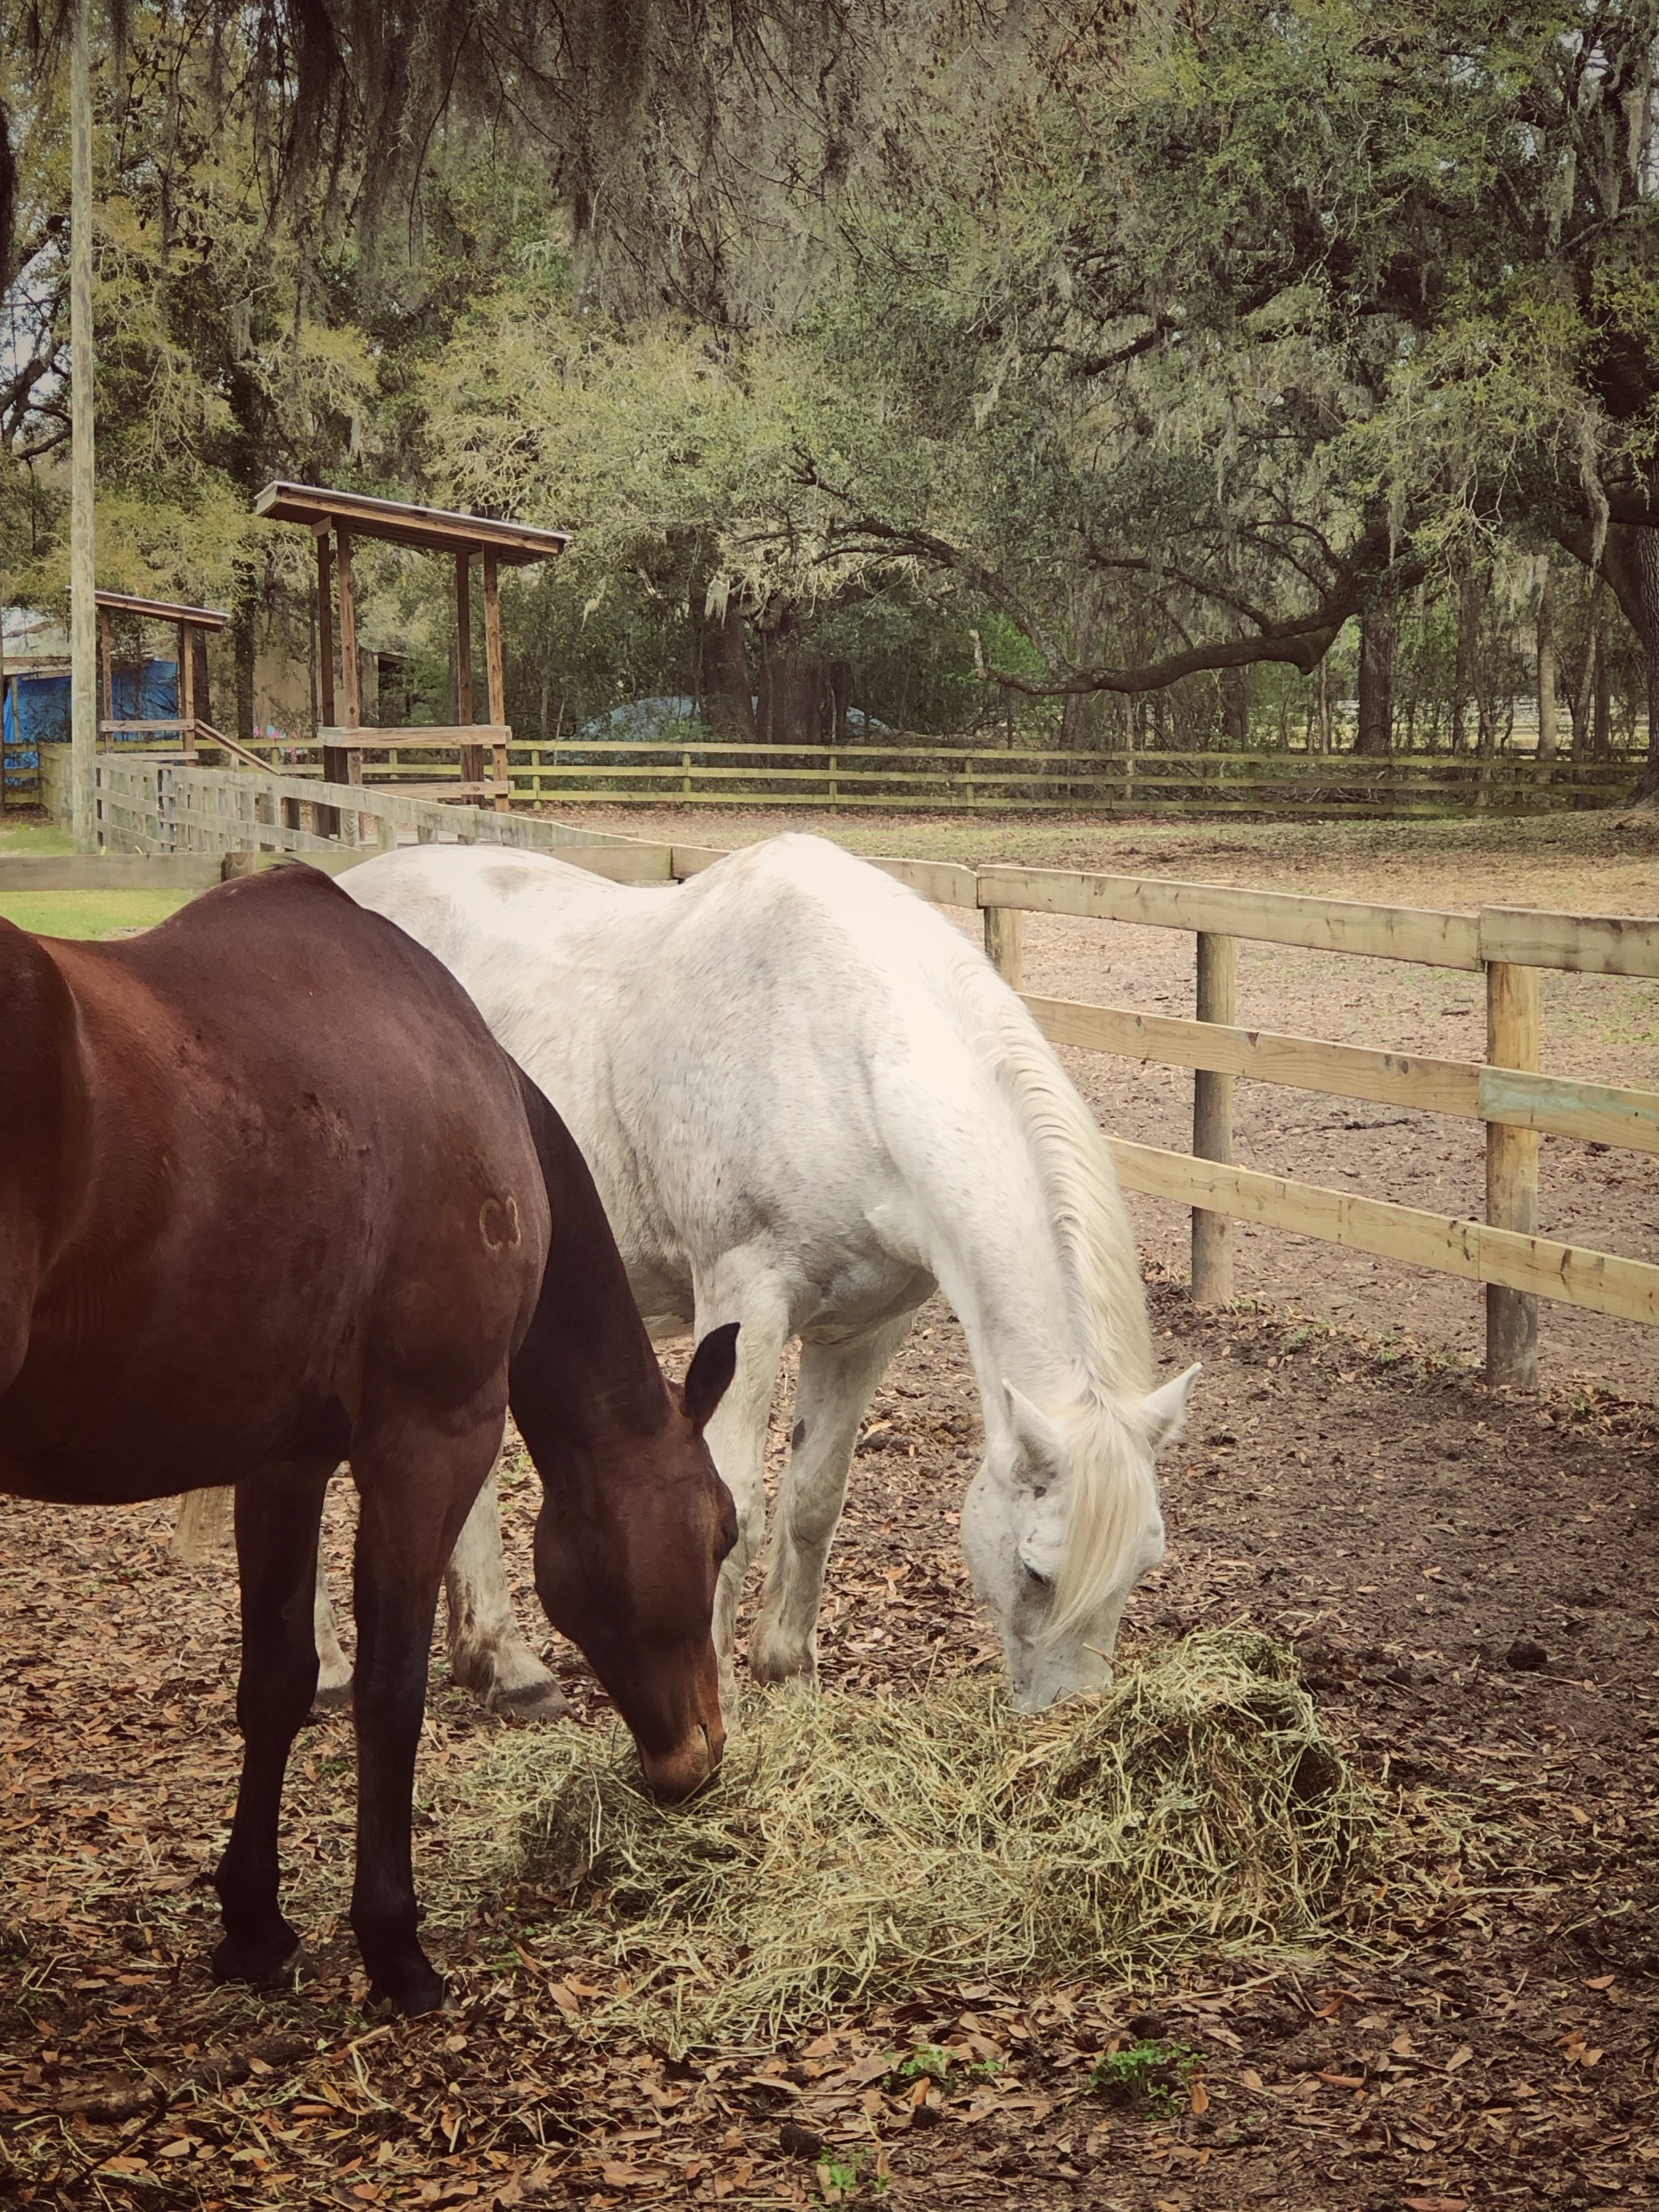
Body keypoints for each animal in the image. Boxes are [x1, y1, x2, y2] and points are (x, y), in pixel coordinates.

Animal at [0, 866, 737, 2013]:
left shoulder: (283, 1463)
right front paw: (394, 1944)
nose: (701, 1756)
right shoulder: (428, 1444)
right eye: (722, 1535)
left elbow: (279, 1683)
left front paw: (253, 1923)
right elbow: (392, 1692)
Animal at [334, 832, 1197, 1715]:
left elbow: (814, 1497)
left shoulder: (867, 1330)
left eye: (1145, 1567)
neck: (842, 1061)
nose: (1078, 1713)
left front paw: (788, 1673)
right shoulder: (744, 1303)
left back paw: (501, 1666)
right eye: (1035, 1570)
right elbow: (738, 1502)